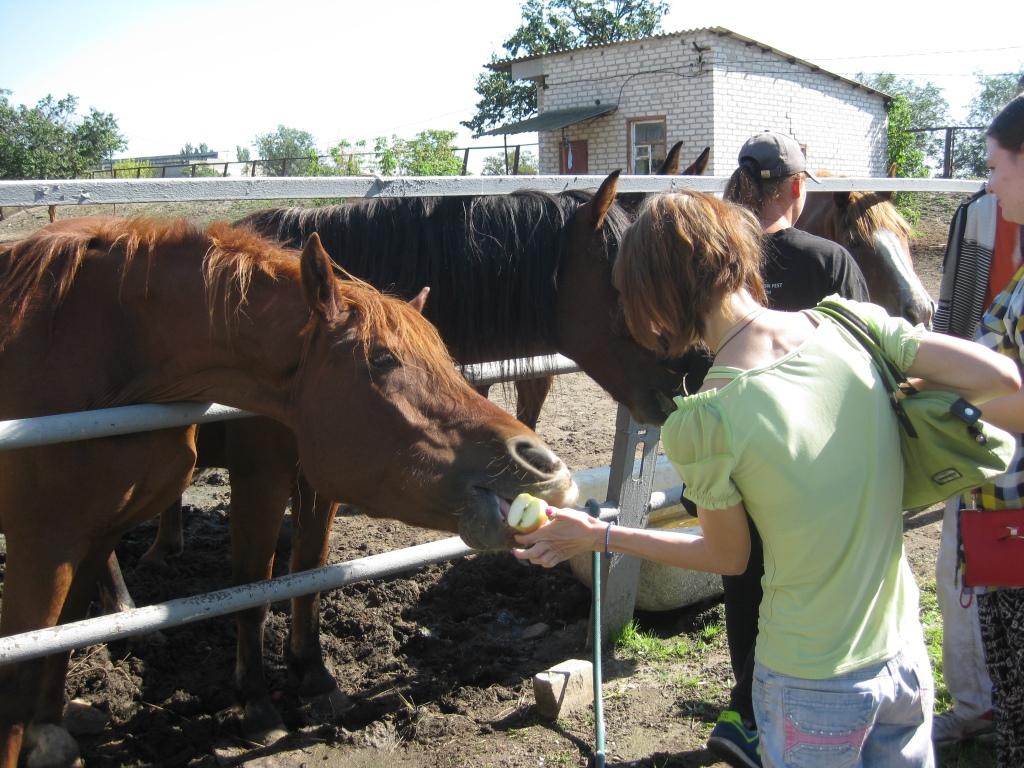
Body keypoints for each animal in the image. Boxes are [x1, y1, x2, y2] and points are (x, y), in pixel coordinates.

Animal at [0, 217, 580, 768]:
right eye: (381, 359)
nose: (543, 465)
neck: (97, 343)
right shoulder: (46, 543)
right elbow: (252, 587)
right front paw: (258, 706)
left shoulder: (312, 482)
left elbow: (306, 572)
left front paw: (314, 675)